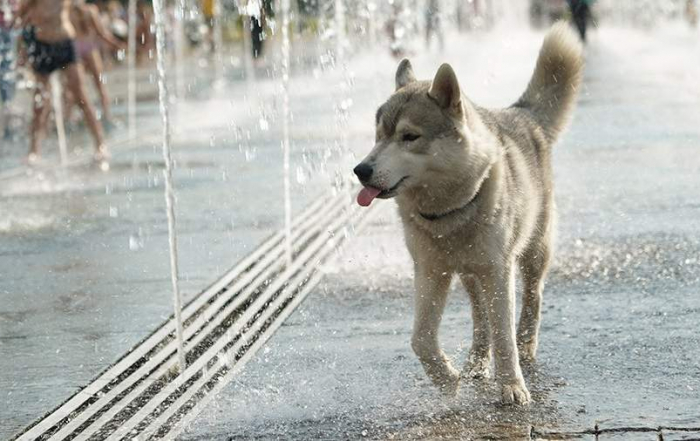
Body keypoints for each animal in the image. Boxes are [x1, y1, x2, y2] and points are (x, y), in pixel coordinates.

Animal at [352, 22, 584, 404]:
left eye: (409, 136)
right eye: (377, 136)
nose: (361, 170)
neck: (448, 212)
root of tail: (522, 113)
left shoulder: (499, 269)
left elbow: (504, 336)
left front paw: (512, 386)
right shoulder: (430, 272)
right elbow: (421, 339)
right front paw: (447, 380)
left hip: (533, 251)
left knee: (532, 298)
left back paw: (526, 345)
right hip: (469, 275)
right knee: (481, 318)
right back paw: (476, 362)